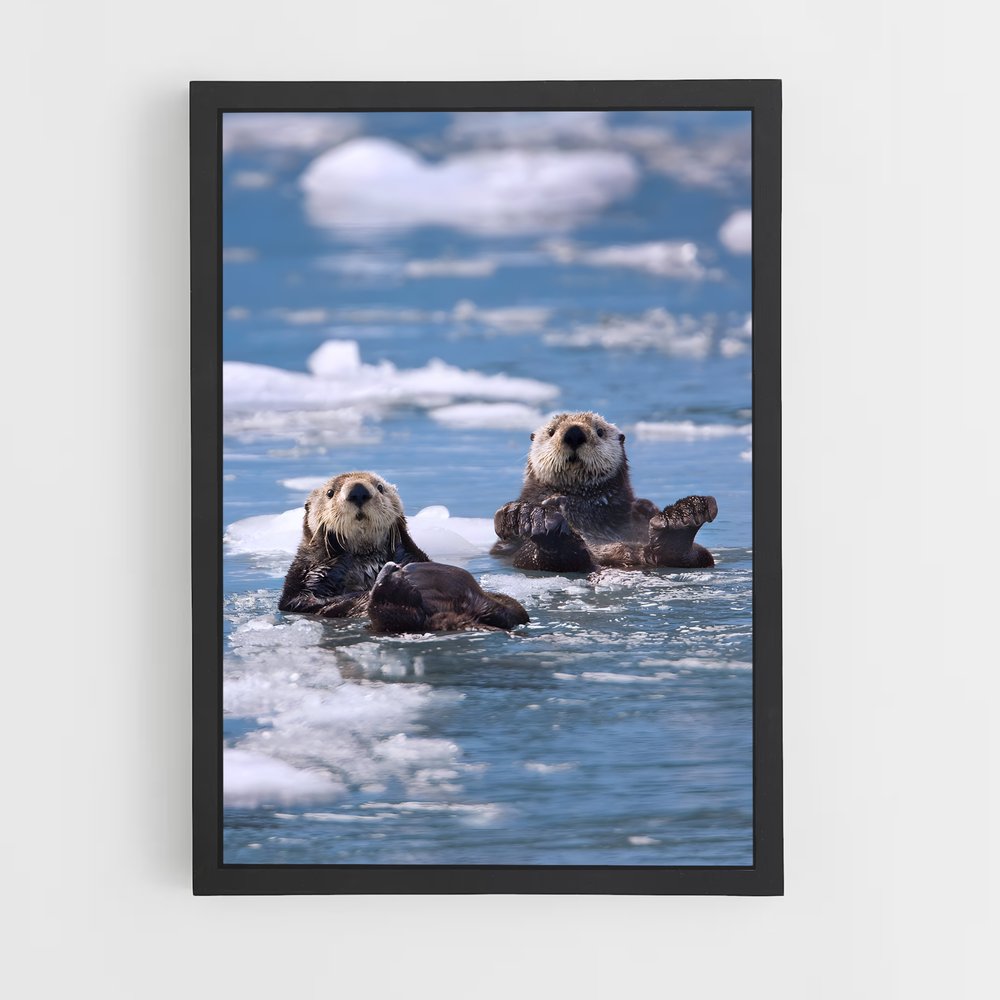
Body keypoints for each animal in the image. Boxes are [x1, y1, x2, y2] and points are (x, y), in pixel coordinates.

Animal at [493, 411, 718, 573]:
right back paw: (537, 520)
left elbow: (643, 506)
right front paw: (518, 512)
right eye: (551, 431)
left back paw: (683, 516)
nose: (574, 433)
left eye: (600, 431)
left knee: (692, 555)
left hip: (693, 554)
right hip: (528, 558)